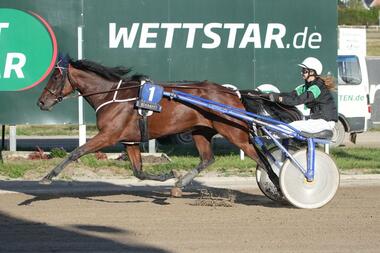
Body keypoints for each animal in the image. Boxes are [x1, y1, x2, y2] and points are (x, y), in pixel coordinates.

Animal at [37, 53, 266, 196]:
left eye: (55, 76)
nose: (41, 102)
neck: (112, 95)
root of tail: (232, 93)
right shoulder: (130, 141)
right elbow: (138, 171)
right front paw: (170, 175)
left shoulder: (108, 135)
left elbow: (76, 152)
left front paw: (48, 176)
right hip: (201, 131)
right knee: (208, 158)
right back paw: (179, 185)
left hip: (233, 132)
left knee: (261, 159)